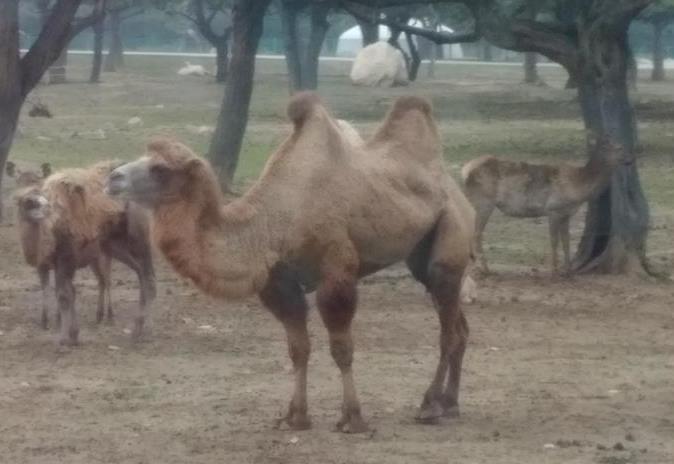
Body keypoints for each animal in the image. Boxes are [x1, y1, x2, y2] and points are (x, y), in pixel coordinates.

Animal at [12, 161, 155, 346]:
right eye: (28, 202)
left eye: (42, 198)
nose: (48, 208)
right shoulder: (54, 263)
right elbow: (68, 293)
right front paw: (73, 335)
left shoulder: (66, 259)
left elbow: (64, 296)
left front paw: (63, 340)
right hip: (114, 247)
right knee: (140, 273)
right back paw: (137, 328)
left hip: (139, 242)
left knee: (148, 278)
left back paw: (144, 330)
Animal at [105, 92, 472, 434]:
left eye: (160, 169)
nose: (112, 177)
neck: (273, 223)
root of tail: (454, 187)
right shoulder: (279, 282)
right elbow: (298, 348)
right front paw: (295, 417)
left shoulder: (337, 270)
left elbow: (341, 348)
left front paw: (352, 418)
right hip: (420, 257)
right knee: (459, 325)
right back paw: (451, 403)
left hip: (449, 235)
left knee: (447, 329)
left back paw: (430, 406)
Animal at [460, 140, 624, 274]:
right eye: (617, 148)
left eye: (623, 147)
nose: (629, 158)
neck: (577, 189)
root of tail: (464, 171)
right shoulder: (553, 209)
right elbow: (554, 241)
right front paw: (554, 271)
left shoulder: (566, 213)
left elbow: (566, 241)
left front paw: (568, 270)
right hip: (483, 201)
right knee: (476, 233)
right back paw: (484, 269)